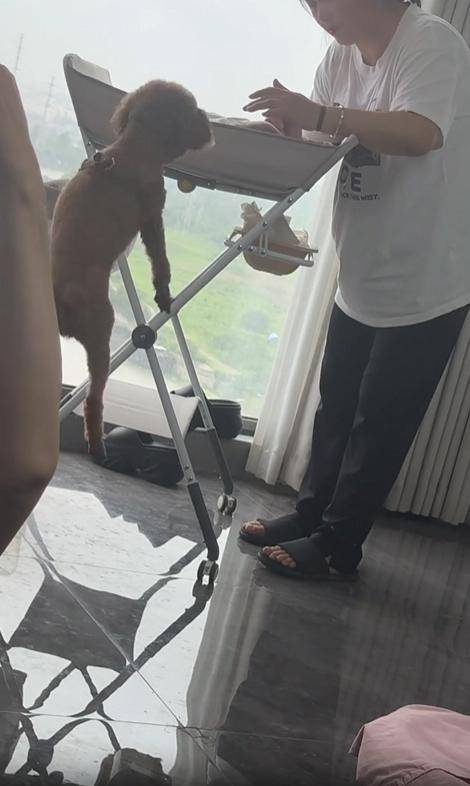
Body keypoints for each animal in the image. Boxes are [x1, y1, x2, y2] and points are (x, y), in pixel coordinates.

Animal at [52, 80, 213, 460]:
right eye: (193, 108)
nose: (209, 120)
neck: (131, 149)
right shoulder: (153, 218)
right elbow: (161, 263)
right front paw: (164, 294)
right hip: (102, 340)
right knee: (94, 399)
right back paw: (97, 444)